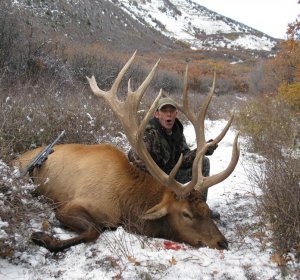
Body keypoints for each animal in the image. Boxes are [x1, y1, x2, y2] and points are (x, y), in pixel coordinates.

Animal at [14, 51, 240, 253]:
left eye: (206, 209)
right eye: (186, 214)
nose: (222, 242)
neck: (126, 205)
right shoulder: (70, 205)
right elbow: (93, 230)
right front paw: (40, 237)